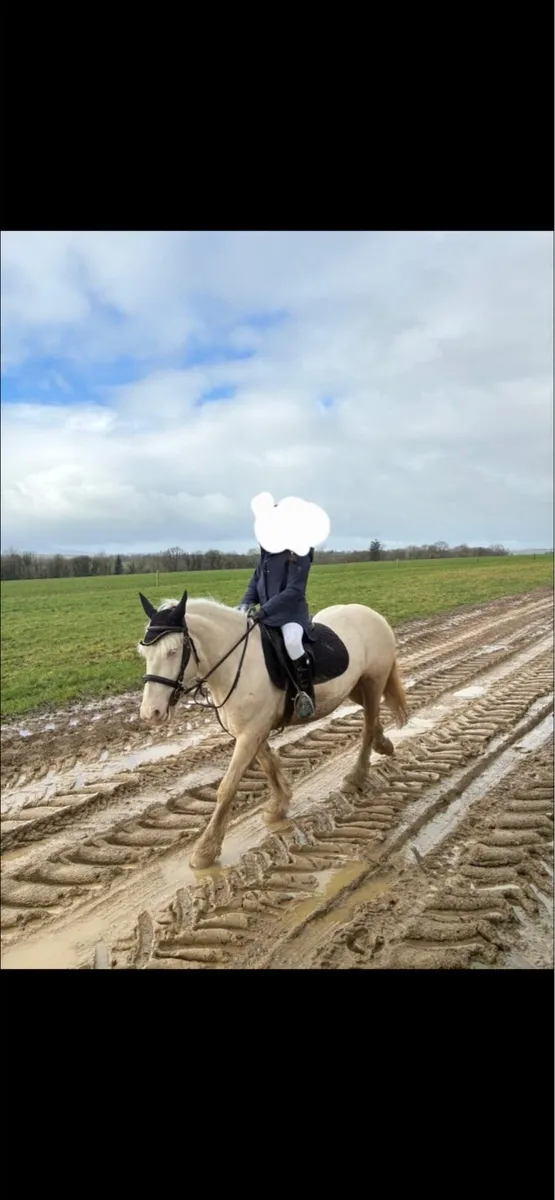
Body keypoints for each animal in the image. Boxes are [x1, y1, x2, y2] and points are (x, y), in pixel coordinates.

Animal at [137, 590, 408, 869]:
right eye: (145, 654)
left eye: (172, 651)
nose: (150, 713)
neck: (236, 663)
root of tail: (370, 613)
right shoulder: (250, 730)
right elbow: (268, 765)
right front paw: (279, 804)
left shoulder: (250, 733)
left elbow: (227, 787)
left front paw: (205, 850)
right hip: (355, 687)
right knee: (371, 717)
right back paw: (384, 744)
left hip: (373, 682)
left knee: (367, 726)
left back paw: (356, 776)